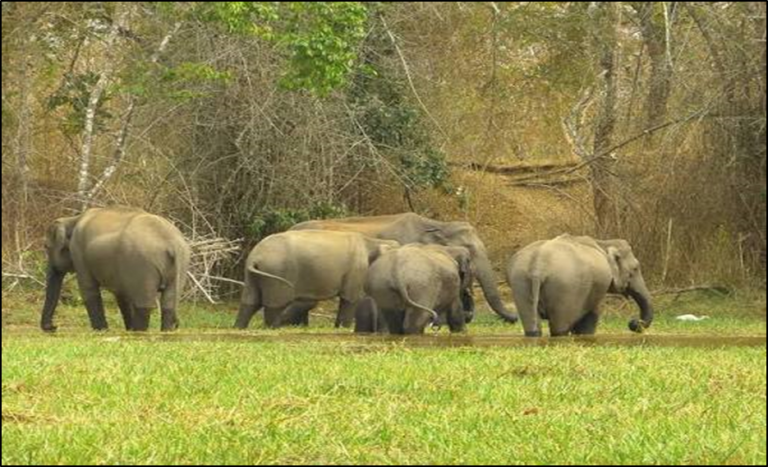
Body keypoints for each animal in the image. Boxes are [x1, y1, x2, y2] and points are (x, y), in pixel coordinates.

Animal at [40, 206, 191, 332]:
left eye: (46, 246)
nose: (53, 327)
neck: (73, 219)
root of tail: (171, 243)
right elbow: (122, 296)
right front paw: (125, 328)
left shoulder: (78, 252)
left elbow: (88, 289)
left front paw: (101, 330)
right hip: (181, 263)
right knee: (169, 303)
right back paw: (164, 332)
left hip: (143, 264)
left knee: (145, 304)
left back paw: (138, 333)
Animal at [234, 230, 399, 329]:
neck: (373, 241)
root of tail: (255, 257)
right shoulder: (357, 269)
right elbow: (351, 298)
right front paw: (343, 328)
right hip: (277, 272)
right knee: (276, 303)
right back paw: (273, 328)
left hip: (253, 276)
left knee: (250, 301)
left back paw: (239, 327)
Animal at [506, 234, 654, 337]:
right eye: (635, 269)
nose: (633, 322)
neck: (603, 242)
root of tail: (538, 266)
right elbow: (590, 318)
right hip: (565, 287)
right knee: (560, 327)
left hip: (520, 281)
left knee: (532, 324)